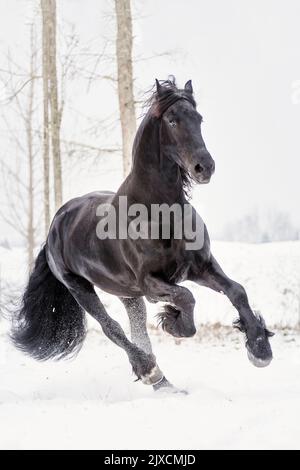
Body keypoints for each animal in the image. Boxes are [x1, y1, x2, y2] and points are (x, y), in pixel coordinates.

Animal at [12, 78, 274, 392]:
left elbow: (237, 291)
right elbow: (185, 297)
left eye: (199, 119)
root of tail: (57, 224)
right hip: (80, 288)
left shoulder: (200, 267)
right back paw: (149, 370)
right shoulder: (150, 282)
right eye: (172, 120)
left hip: (128, 295)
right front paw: (174, 323)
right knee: (111, 328)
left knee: (137, 330)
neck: (159, 212)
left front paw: (259, 349)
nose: (204, 167)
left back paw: (165, 384)